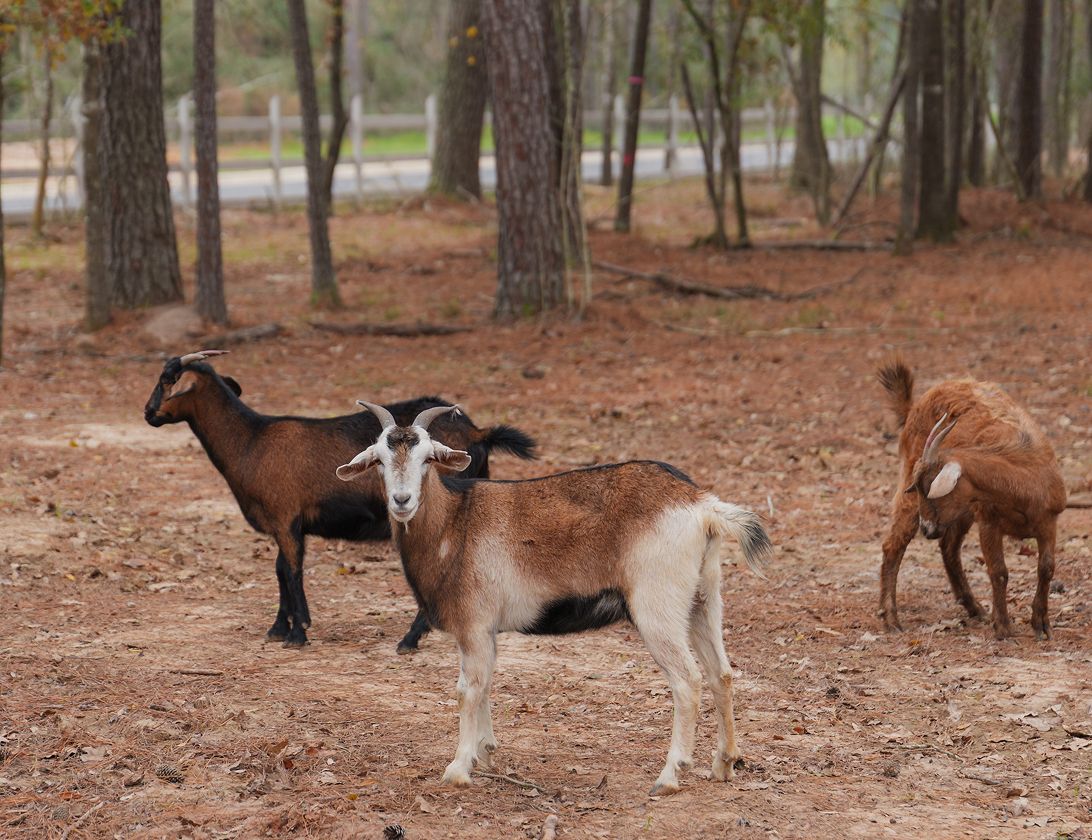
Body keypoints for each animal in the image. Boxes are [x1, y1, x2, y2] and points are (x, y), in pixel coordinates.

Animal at [143, 350, 536, 650]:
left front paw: (298, 632)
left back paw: (410, 638)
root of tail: (478, 432)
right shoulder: (285, 524)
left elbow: (291, 571)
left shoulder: (285, 518)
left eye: (166, 381)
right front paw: (278, 628)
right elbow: (280, 570)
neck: (251, 441)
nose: (147, 413)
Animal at [336, 401, 772, 795]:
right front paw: (485, 753)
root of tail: (702, 505)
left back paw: (669, 776)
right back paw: (724, 764)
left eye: (428, 458)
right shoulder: (486, 631)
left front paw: (459, 768)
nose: (402, 501)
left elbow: (467, 689)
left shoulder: (474, 624)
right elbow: (487, 684)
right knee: (721, 674)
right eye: (379, 460)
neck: (455, 524)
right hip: (703, 599)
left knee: (687, 681)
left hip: (657, 607)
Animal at [878, 361, 1066, 640]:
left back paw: (975, 608)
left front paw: (1041, 625)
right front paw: (1003, 627)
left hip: (961, 513)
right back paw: (891, 619)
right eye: (918, 487)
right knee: (893, 545)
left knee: (948, 547)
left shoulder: (1048, 522)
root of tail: (916, 403)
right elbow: (998, 571)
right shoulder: (988, 521)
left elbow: (1047, 568)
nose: (926, 528)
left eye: (928, 487)